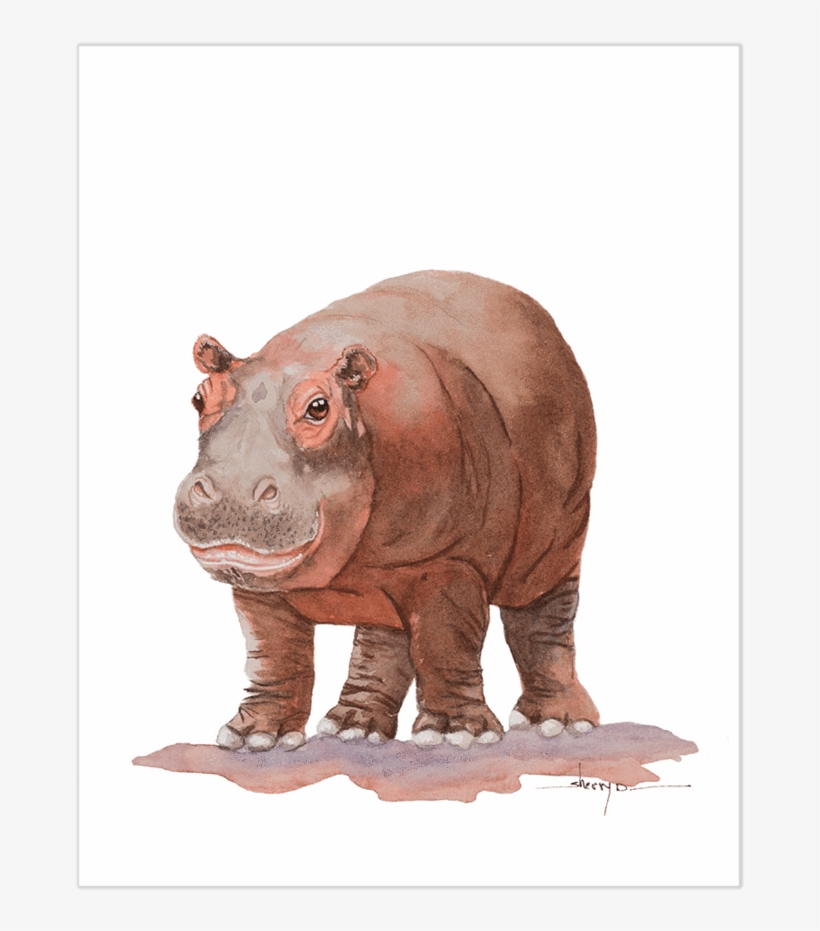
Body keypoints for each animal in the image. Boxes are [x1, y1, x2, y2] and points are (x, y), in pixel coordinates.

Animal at [174, 270, 599, 752]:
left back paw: (559, 725)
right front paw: (253, 739)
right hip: (388, 577)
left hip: (561, 527)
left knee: (545, 615)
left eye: (318, 407)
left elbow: (444, 642)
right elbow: (273, 655)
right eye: (198, 398)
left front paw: (454, 737)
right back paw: (353, 730)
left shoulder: (447, 559)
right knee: (383, 634)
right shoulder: (262, 584)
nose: (230, 490)